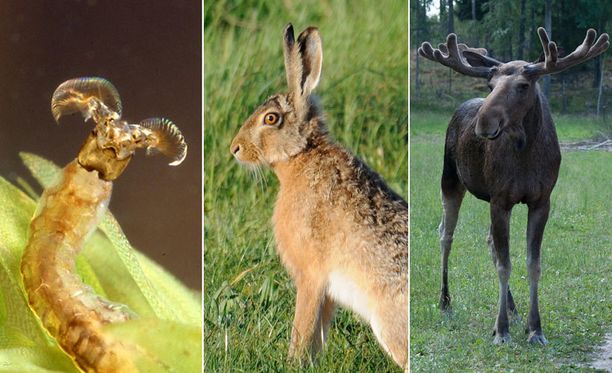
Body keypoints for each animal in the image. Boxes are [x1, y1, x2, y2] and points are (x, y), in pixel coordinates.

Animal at [418, 27, 608, 344]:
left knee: (488, 241)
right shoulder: (500, 199)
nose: (484, 122)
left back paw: (513, 309)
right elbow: (505, 264)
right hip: (450, 178)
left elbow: (532, 263)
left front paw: (534, 328)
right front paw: (502, 331)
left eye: (522, 85)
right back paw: (445, 301)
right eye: (490, 84)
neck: (526, 152)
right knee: (446, 233)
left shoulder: (541, 200)